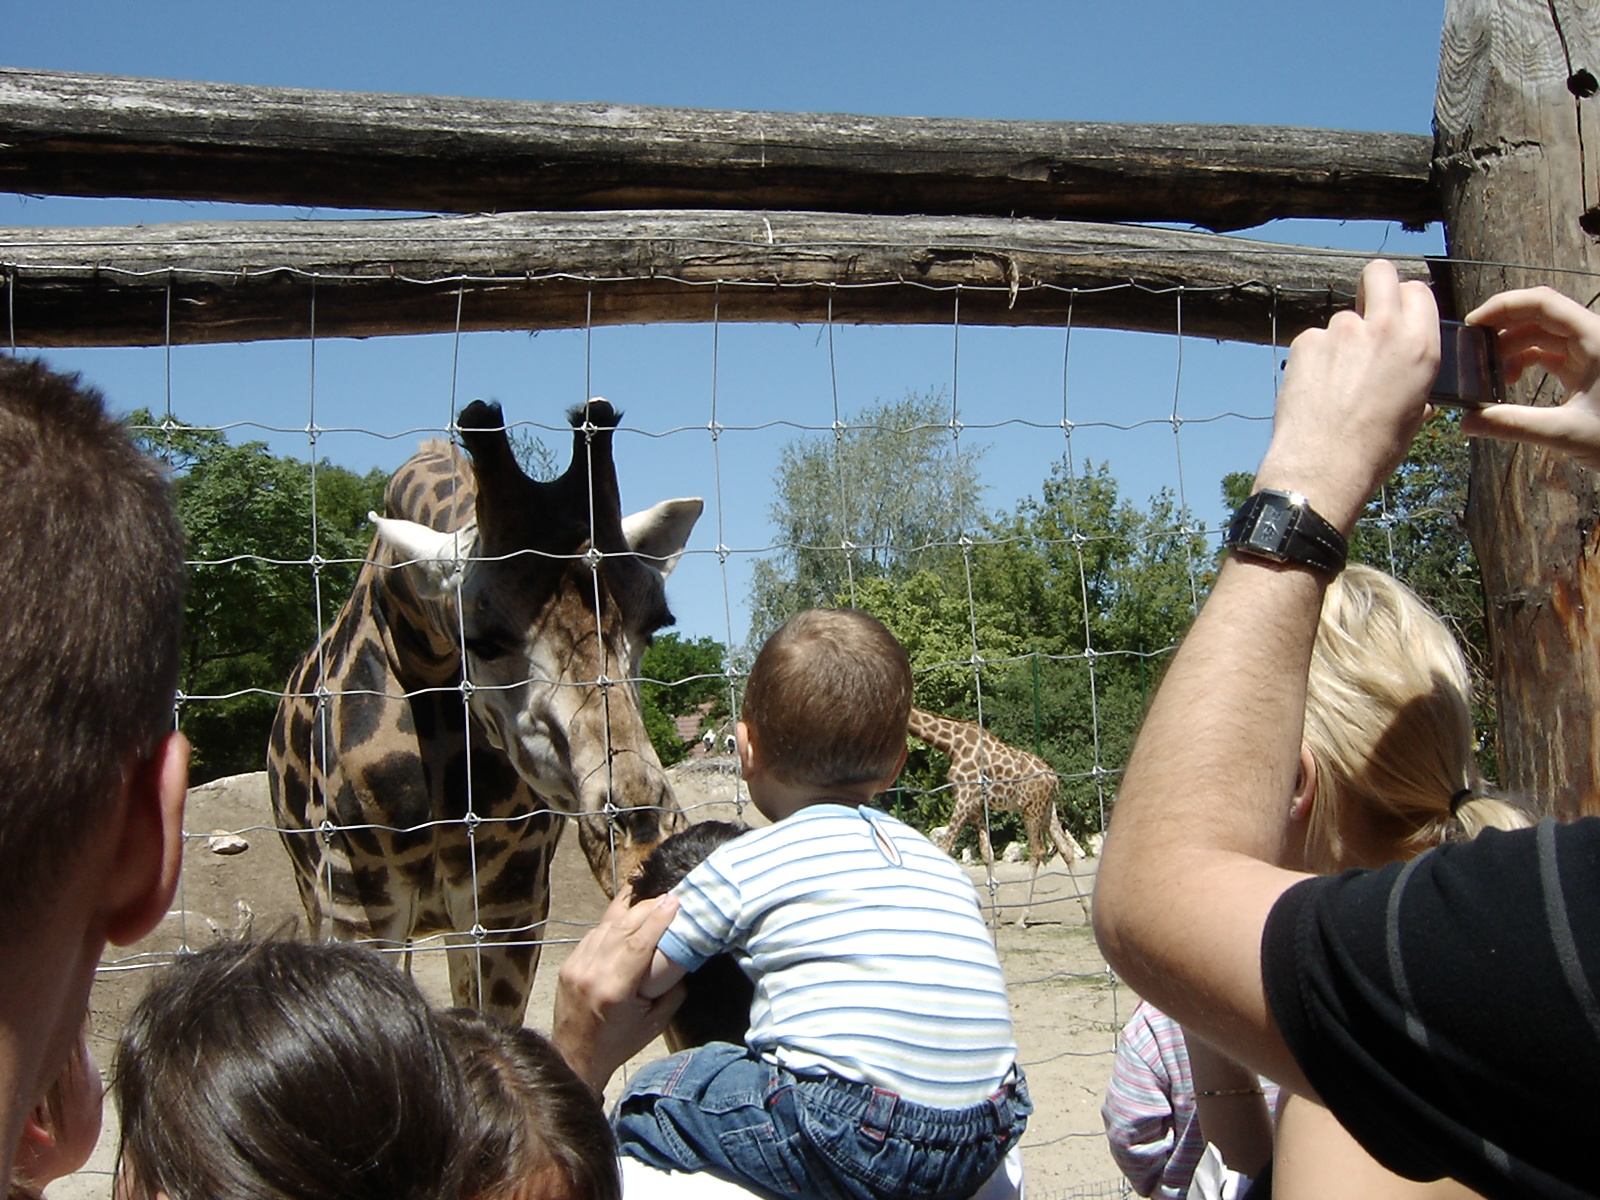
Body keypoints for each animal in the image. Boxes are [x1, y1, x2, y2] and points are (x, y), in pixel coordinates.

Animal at [268, 395, 700, 1024]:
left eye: (656, 624)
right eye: (485, 641)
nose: (640, 838)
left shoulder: (508, 904)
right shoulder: (356, 901)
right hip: (320, 894)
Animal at [908, 710, 1094, 928]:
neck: (952, 743)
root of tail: (1053, 778)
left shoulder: (965, 797)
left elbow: (945, 847)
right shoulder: (974, 805)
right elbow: (986, 853)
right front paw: (996, 915)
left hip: (1030, 808)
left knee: (1038, 850)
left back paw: (1023, 918)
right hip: (1048, 809)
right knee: (1065, 849)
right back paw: (1087, 913)